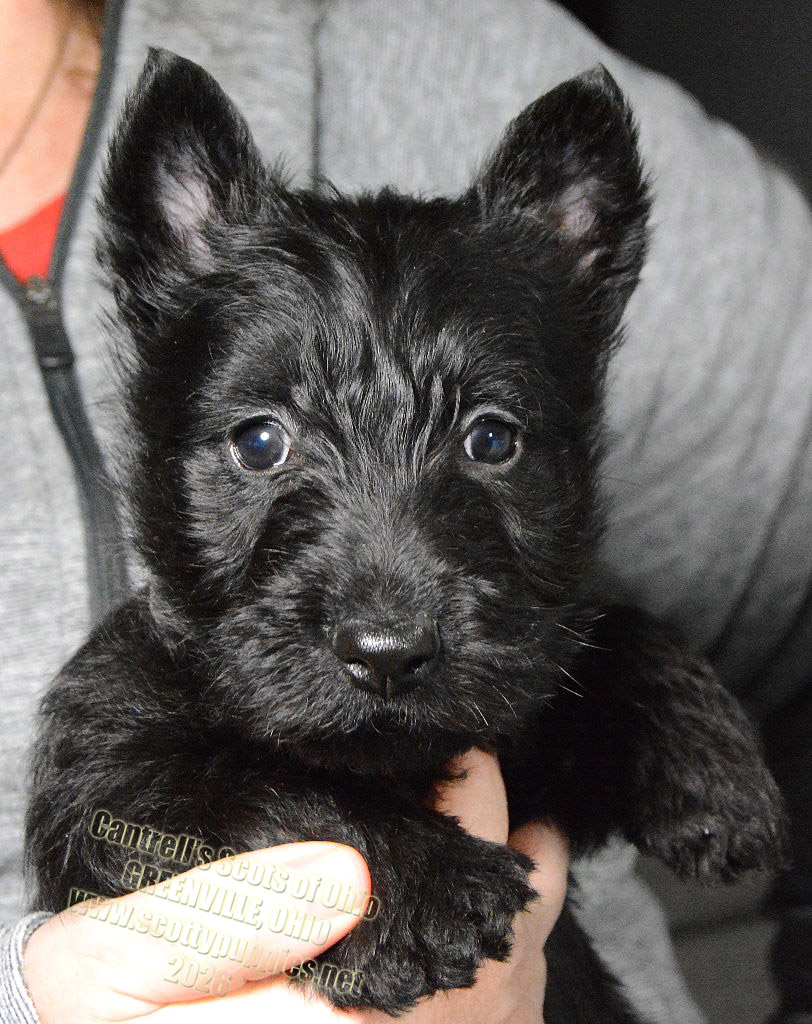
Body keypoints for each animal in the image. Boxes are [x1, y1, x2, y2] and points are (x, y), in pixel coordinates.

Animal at [26, 49, 786, 1022]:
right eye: (260, 441)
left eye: (492, 440)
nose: (386, 656)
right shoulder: (105, 769)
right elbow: (255, 788)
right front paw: (423, 887)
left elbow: (598, 634)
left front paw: (707, 758)